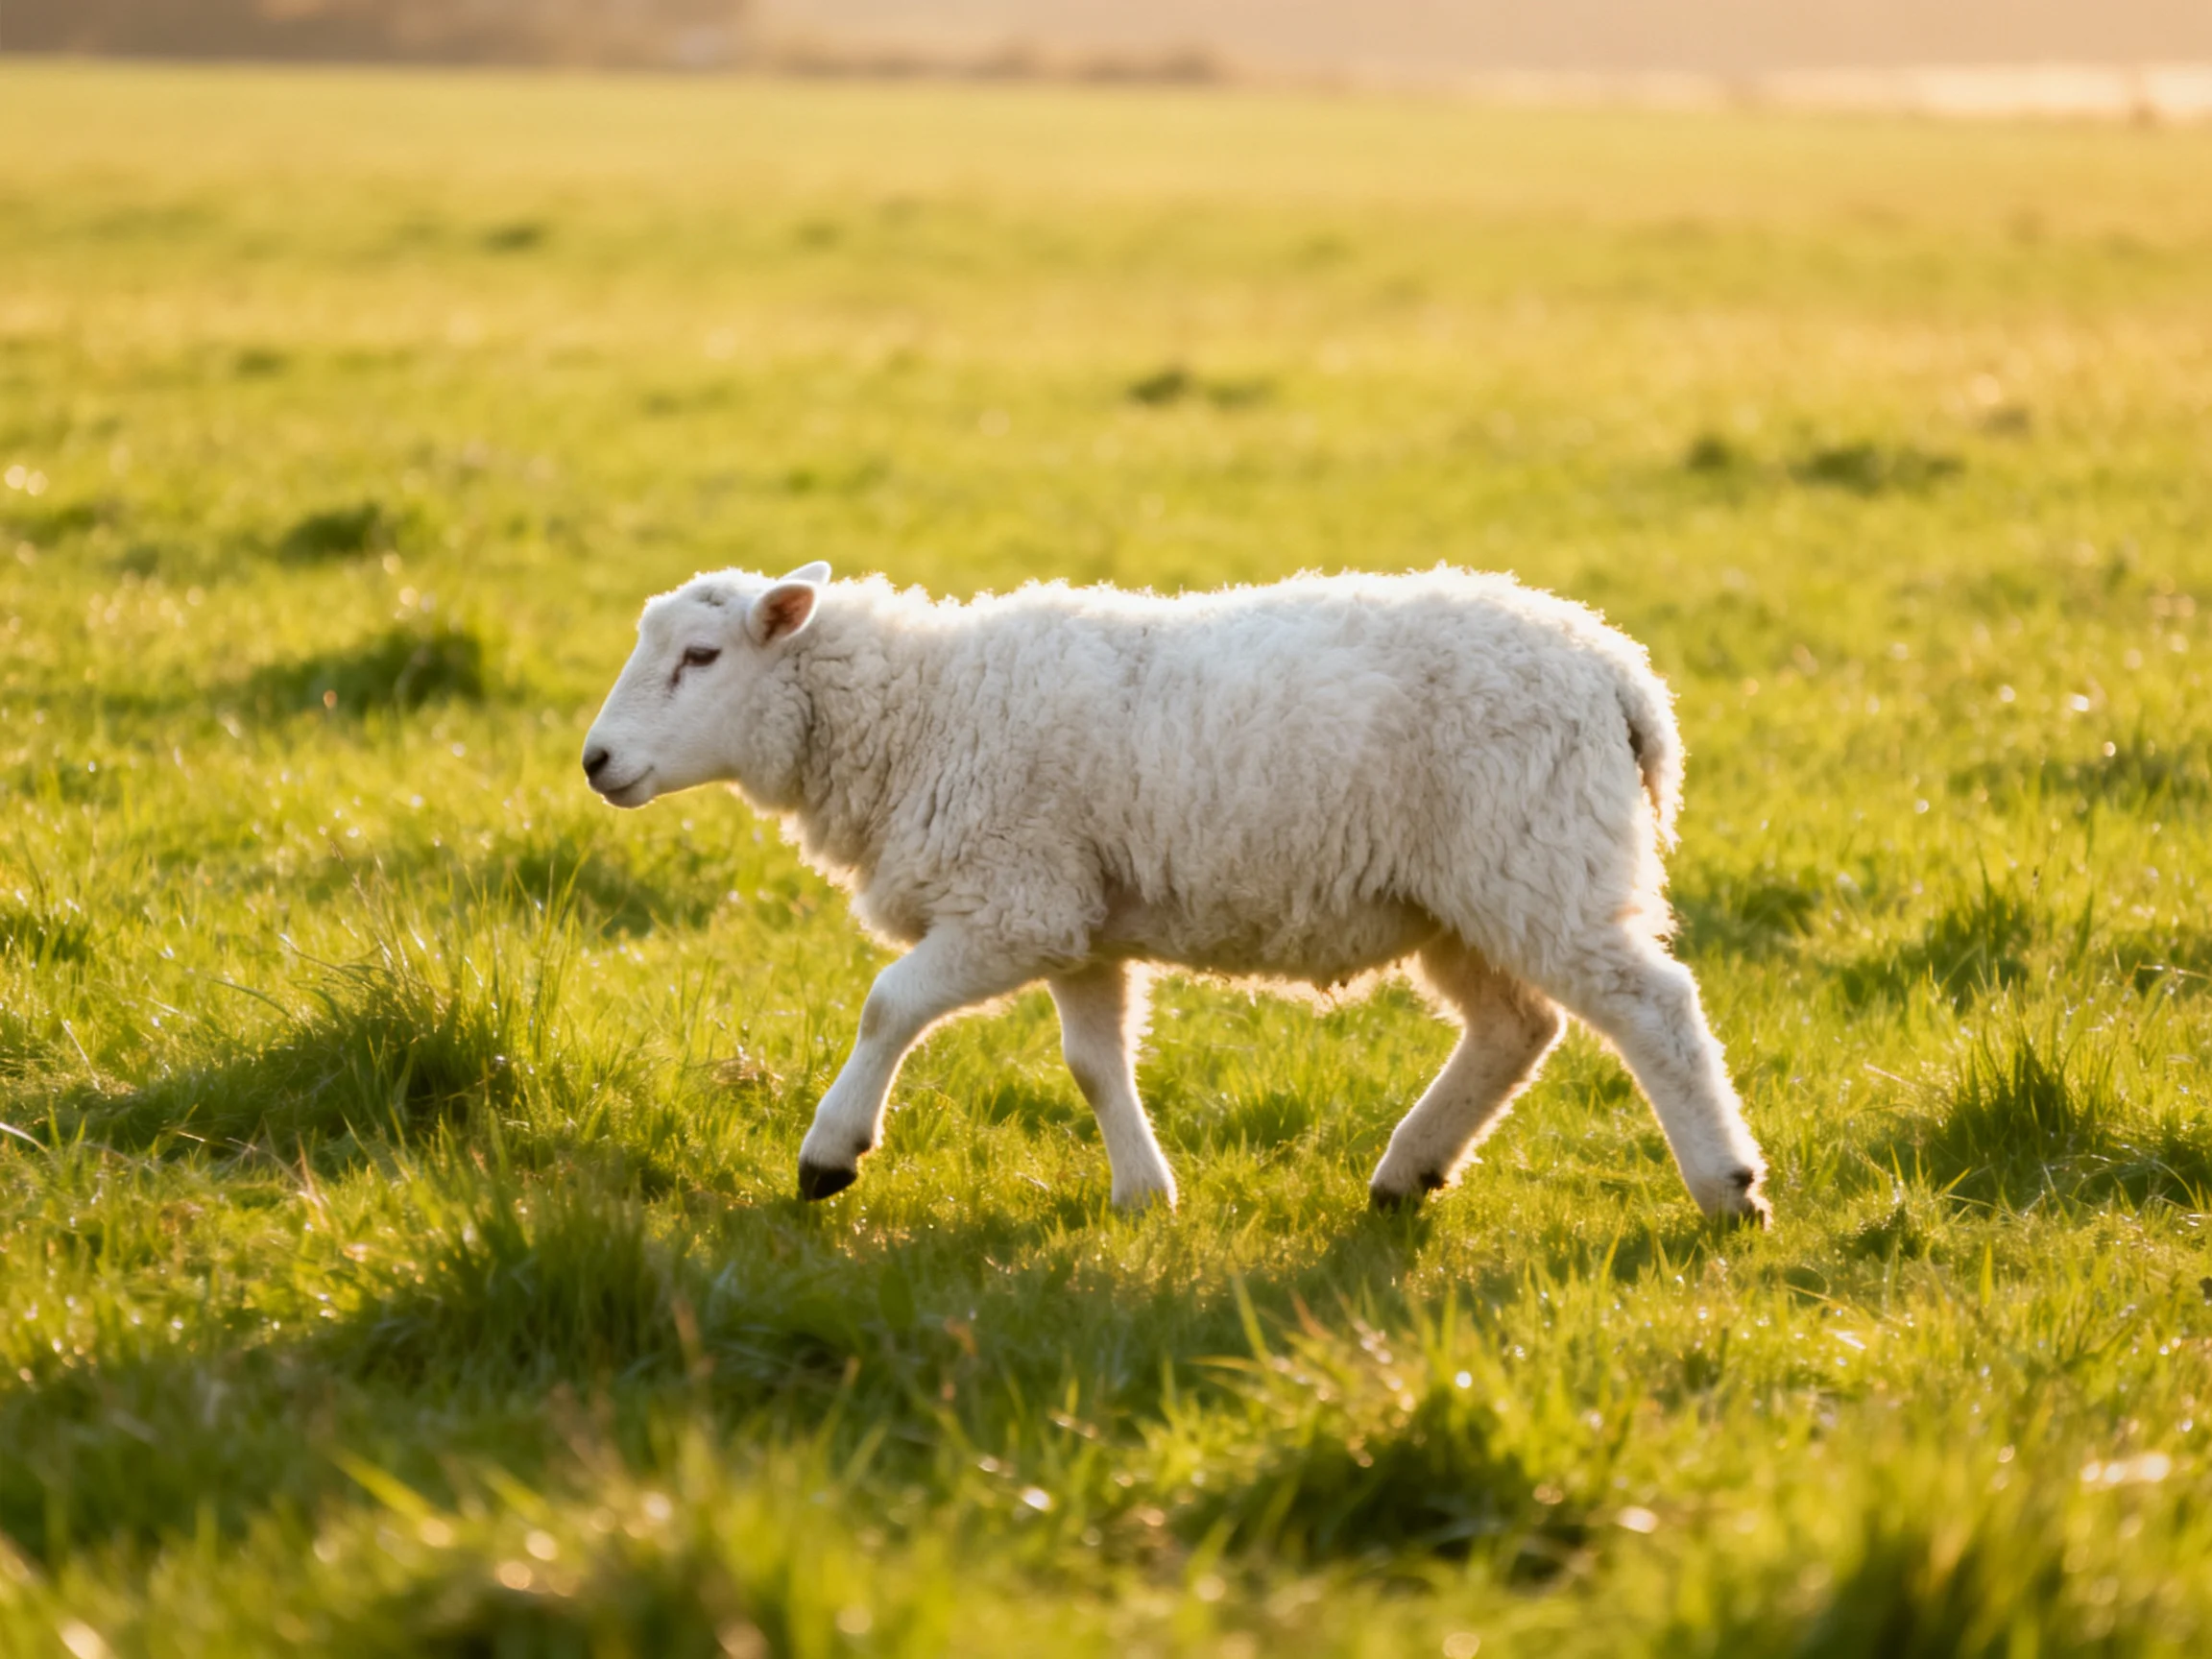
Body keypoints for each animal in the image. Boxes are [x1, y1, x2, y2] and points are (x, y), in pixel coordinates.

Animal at [582, 562, 1770, 1226]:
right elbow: (1093, 1062)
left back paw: (1727, 1189)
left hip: (1539, 861)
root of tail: (1619, 672)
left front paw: (831, 1154)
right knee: (1515, 1028)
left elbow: (888, 1005)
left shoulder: (1014, 899)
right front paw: (1143, 1194)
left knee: (1654, 1009)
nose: (595, 762)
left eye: (700, 656)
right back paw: (1408, 1172)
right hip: (1465, 896)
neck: (920, 710)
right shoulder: (1078, 920)